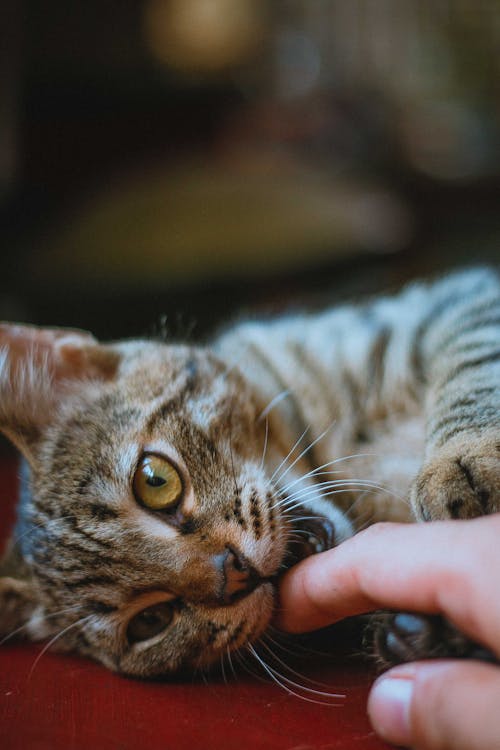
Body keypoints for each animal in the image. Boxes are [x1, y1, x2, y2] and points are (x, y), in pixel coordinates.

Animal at [0, 268, 498, 680]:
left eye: (155, 480)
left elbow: (475, 363)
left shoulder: (453, 303)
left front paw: (465, 461)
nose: (231, 574)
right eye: (150, 621)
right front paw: (424, 633)